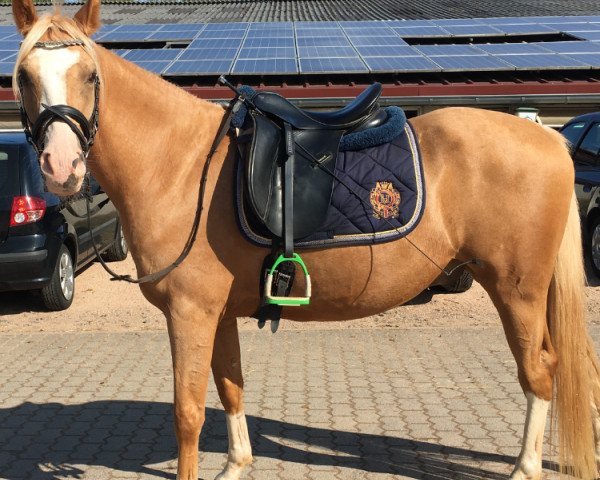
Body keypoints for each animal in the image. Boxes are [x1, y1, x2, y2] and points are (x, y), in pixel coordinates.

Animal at [10, 0, 600, 478]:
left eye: (90, 74)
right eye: (23, 78)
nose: (60, 168)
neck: (178, 164)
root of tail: (549, 138)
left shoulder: (189, 313)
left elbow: (188, 412)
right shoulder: (219, 313)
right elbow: (231, 385)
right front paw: (237, 464)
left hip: (516, 290)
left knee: (539, 372)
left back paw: (525, 468)